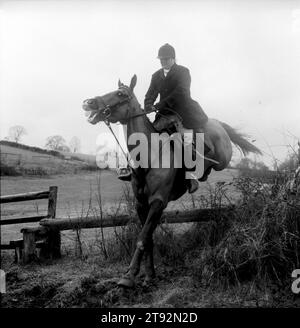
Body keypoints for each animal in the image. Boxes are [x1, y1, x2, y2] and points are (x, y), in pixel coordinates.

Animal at [81, 74, 260, 288]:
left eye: (120, 94)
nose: (88, 102)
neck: (149, 156)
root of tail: (216, 122)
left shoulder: (158, 202)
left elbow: (142, 238)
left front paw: (129, 275)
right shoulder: (141, 204)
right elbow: (148, 238)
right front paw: (149, 275)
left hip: (222, 156)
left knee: (218, 161)